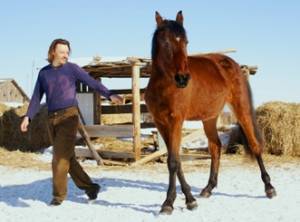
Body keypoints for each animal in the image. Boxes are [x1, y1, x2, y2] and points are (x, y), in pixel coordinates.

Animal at [145, 11, 276, 214]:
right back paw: (208, 188)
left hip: (241, 108)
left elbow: (173, 161)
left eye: (186, 42)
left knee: (254, 145)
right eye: (165, 43)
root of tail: (231, 63)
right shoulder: (160, 123)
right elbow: (175, 161)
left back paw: (269, 187)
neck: (165, 86)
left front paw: (169, 203)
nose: (183, 78)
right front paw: (188, 199)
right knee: (216, 147)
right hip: (209, 118)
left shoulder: (176, 121)